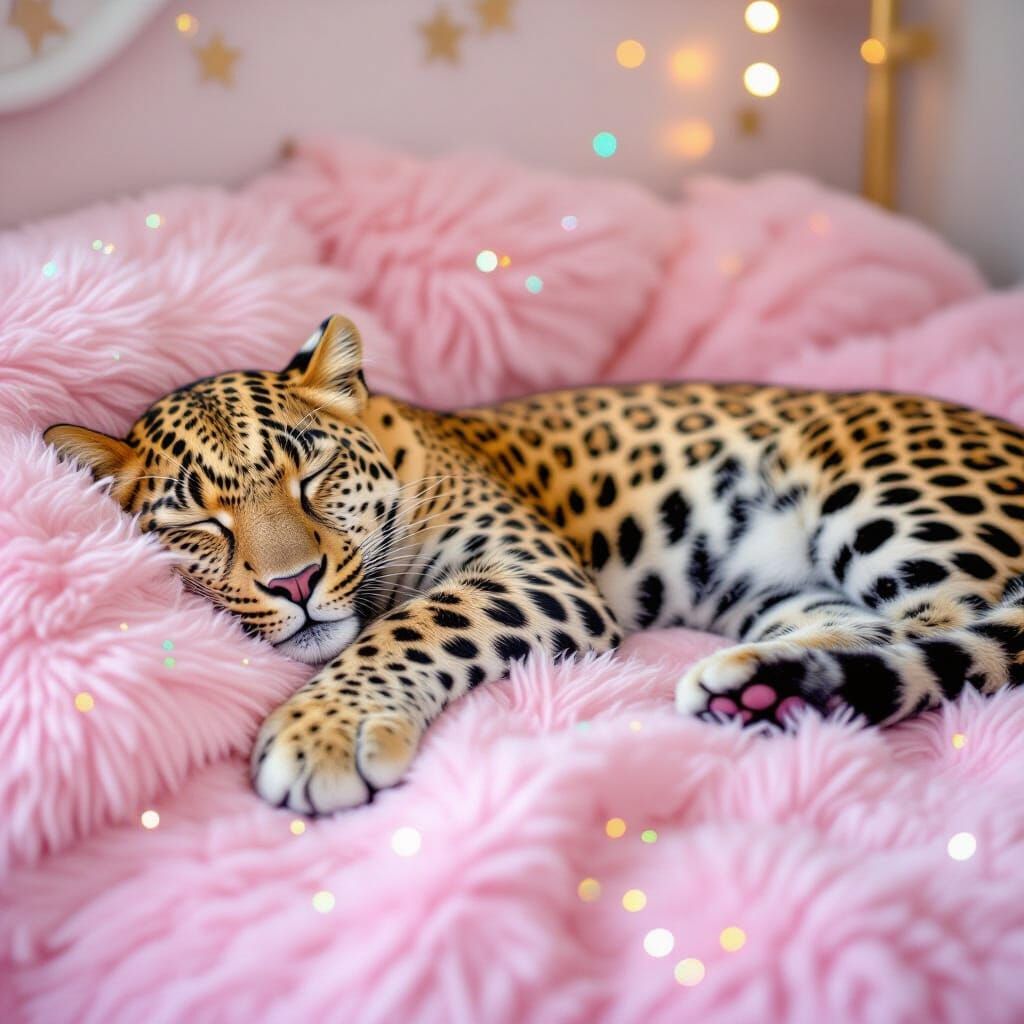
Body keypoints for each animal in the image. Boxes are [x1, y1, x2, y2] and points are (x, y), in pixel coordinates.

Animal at [45, 315, 1024, 814]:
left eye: (312, 476)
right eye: (199, 523)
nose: (293, 582)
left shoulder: (531, 570)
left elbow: (410, 624)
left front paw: (322, 732)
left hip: (894, 503)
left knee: (964, 643)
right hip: (793, 597)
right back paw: (762, 693)